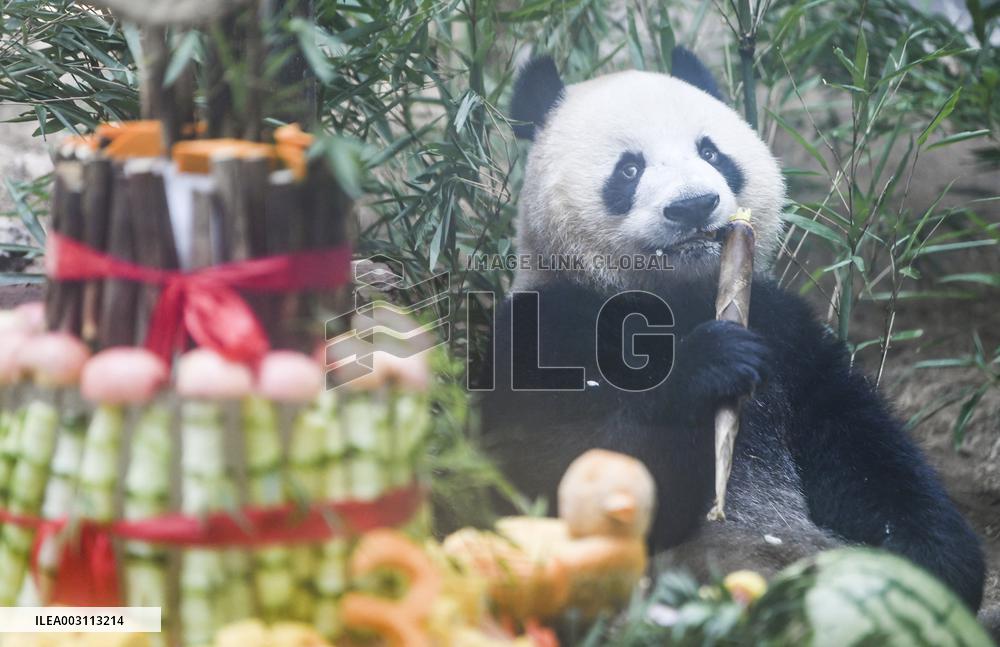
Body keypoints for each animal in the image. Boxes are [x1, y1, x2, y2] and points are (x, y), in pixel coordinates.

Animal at [479, 47, 985, 610]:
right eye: (629, 169)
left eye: (712, 152)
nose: (694, 205)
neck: (683, 297)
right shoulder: (544, 330)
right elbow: (553, 471)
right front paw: (711, 364)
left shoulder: (787, 334)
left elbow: (861, 448)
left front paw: (931, 561)